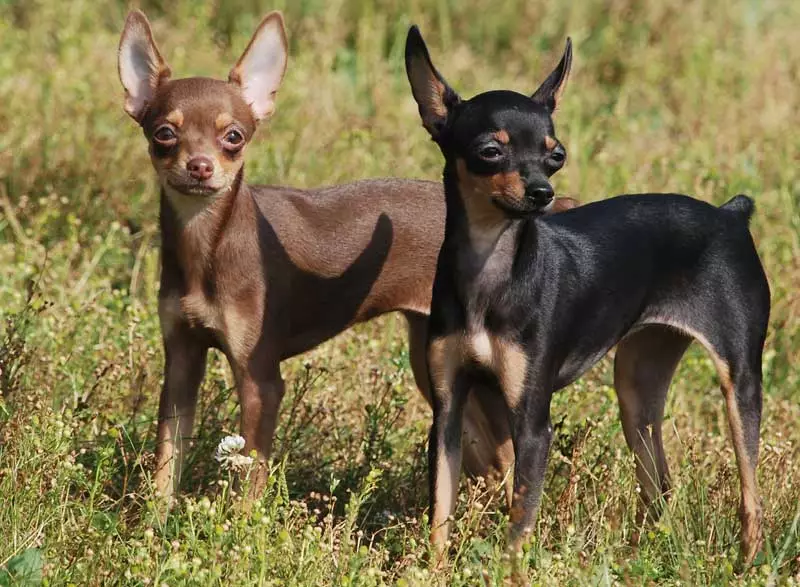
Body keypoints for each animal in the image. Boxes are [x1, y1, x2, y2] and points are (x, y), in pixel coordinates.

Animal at [406, 24, 768, 576]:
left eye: (556, 156)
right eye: (491, 151)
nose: (542, 192)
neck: (492, 270)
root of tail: (730, 215)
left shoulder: (533, 424)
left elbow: (518, 525)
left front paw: (510, 575)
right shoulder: (447, 414)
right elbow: (440, 516)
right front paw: (434, 572)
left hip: (739, 384)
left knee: (751, 498)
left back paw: (745, 566)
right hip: (637, 390)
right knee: (660, 488)